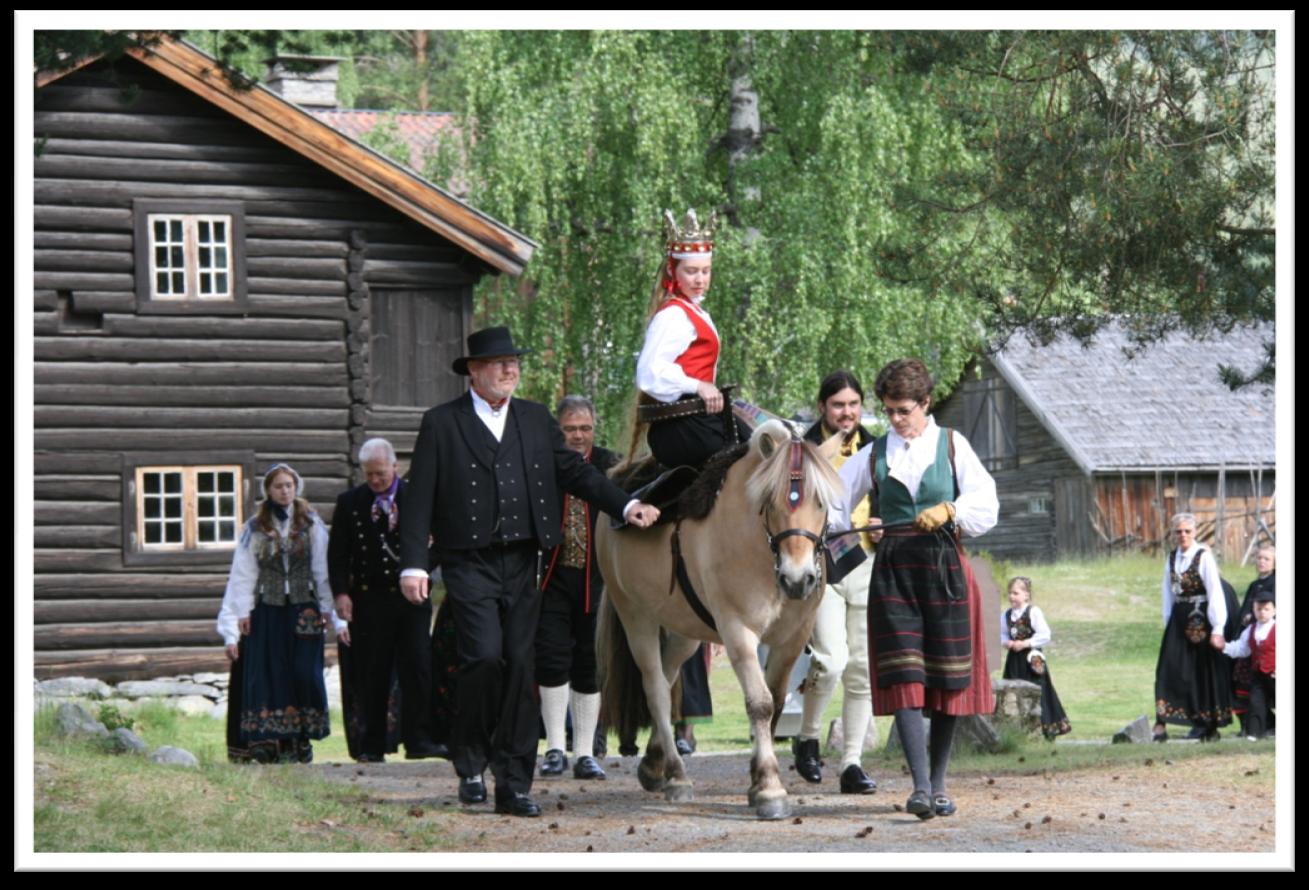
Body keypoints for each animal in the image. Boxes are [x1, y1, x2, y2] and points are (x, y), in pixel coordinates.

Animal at [599, 421, 842, 816]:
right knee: (656, 689)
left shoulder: (791, 639)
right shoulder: (738, 632)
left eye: (820, 501)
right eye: (770, 502)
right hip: (635, 615)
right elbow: (760, 703)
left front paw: (757, 779)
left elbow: (776, 702)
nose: (798, 579)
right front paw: (769, 788)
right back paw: (677, 776)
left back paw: (654, 765)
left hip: (685, 629)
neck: (761, 550)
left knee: (668, 675)